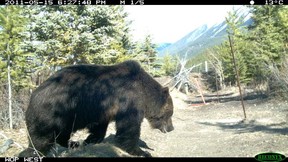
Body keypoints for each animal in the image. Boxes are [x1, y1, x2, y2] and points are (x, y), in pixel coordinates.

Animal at [19, 59, 174, 157]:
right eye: (170, 114)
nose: (172, 128)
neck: (145, 94)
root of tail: (32, 96)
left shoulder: (102, 108)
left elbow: (99, 127)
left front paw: (91, 140)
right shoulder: (129, 100)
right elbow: (129, 128)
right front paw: (142, 152)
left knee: (61, 134)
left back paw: (73, 143)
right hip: (53, 112)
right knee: (41, 139)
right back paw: (34, 152)